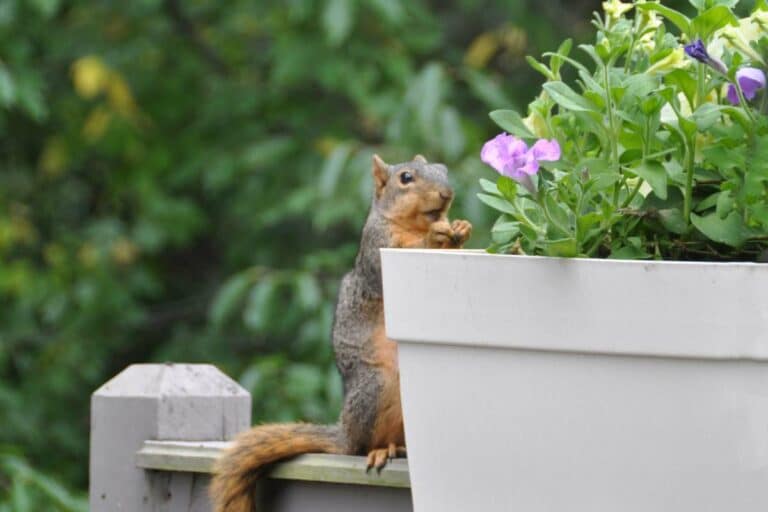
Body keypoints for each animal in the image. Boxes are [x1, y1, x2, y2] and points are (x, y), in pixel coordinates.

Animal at [209, 154, 472, 512]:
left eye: (443, 169)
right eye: (405, 178)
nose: (446, 194)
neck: (413, 223)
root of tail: (344, 434)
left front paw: (461, 228)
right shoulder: (377, 250)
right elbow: (401, 257)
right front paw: (436, 236)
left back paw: (398, 449)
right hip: (374, 388)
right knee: (360, 447)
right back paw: (381, 450)